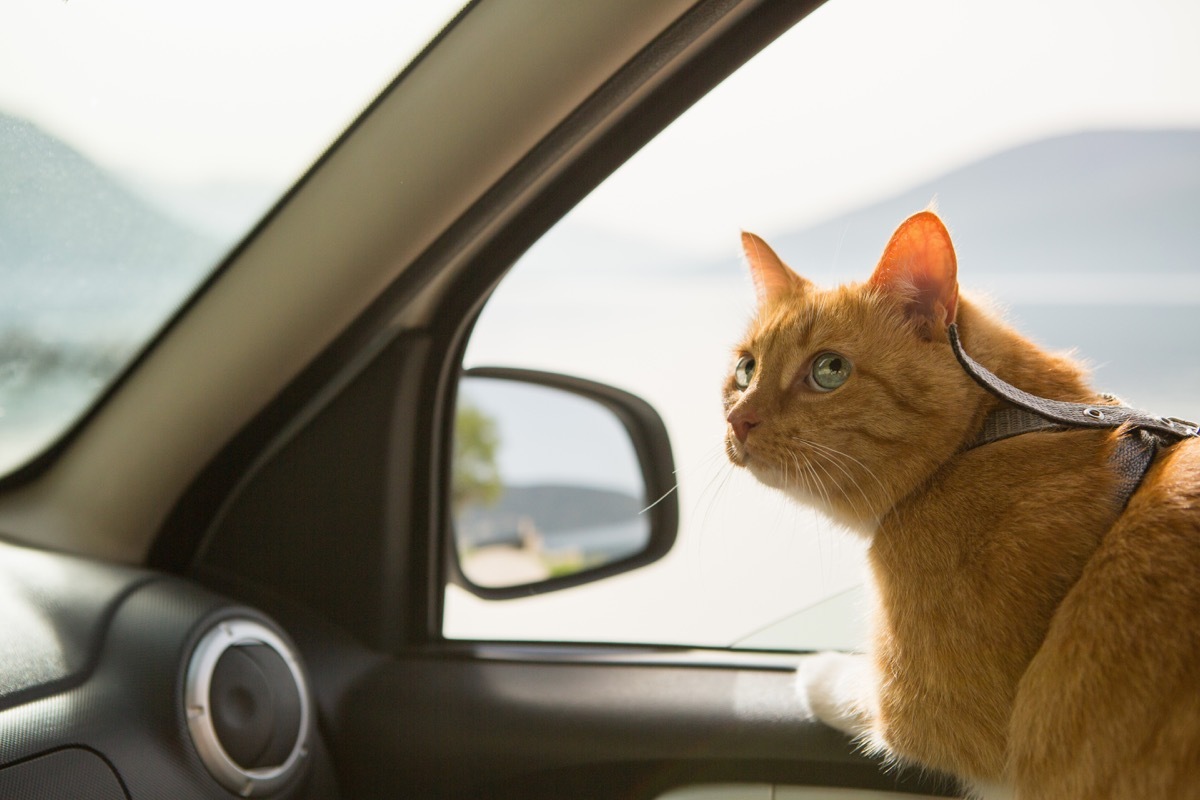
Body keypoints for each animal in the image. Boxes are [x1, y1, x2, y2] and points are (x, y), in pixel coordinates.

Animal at [720, 212, 1200, 800]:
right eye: (746, 369)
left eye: (829, 370)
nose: (738, 420)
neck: (989, 434)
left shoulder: (921, 713)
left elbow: (850, 688)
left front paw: (815, 669)